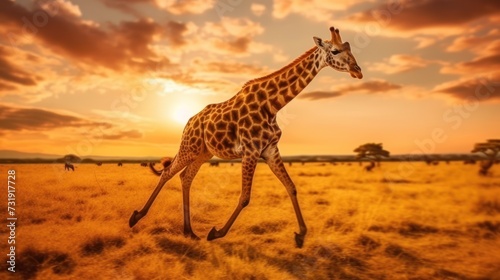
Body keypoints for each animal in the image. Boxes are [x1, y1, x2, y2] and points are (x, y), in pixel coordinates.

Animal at [130, 26, 364, 247]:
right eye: (335, 51)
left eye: (349, 47)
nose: (358, 71)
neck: (273, 105)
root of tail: (189, 122)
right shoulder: (251, 151)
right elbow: (245, 197)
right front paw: (216, 233)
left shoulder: (270, 150)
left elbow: (291, 187)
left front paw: (300, 236)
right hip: (190, 147)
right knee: (167, 172)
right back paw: (136, 217)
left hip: (204, 153)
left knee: (185, 177)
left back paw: (189, 232)